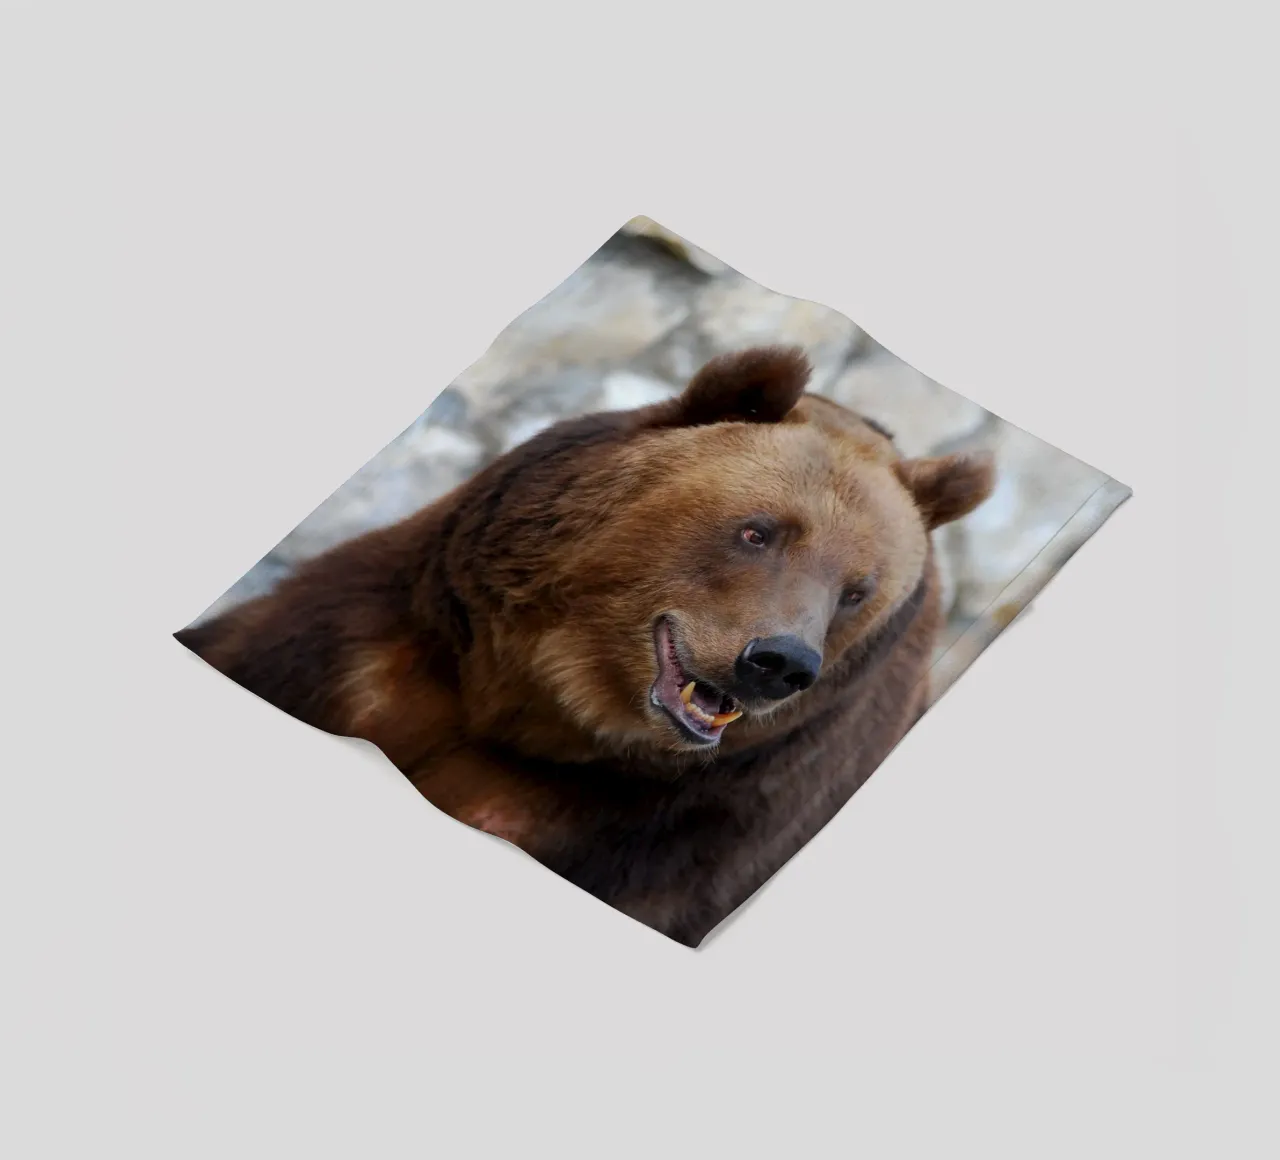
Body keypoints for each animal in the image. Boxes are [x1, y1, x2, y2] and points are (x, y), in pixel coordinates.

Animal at [176, 346, 995, 946]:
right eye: (758, 531)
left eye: (857, 590)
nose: (780, 662)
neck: (540, 707)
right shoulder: (378, 649)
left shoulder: (678, 829)